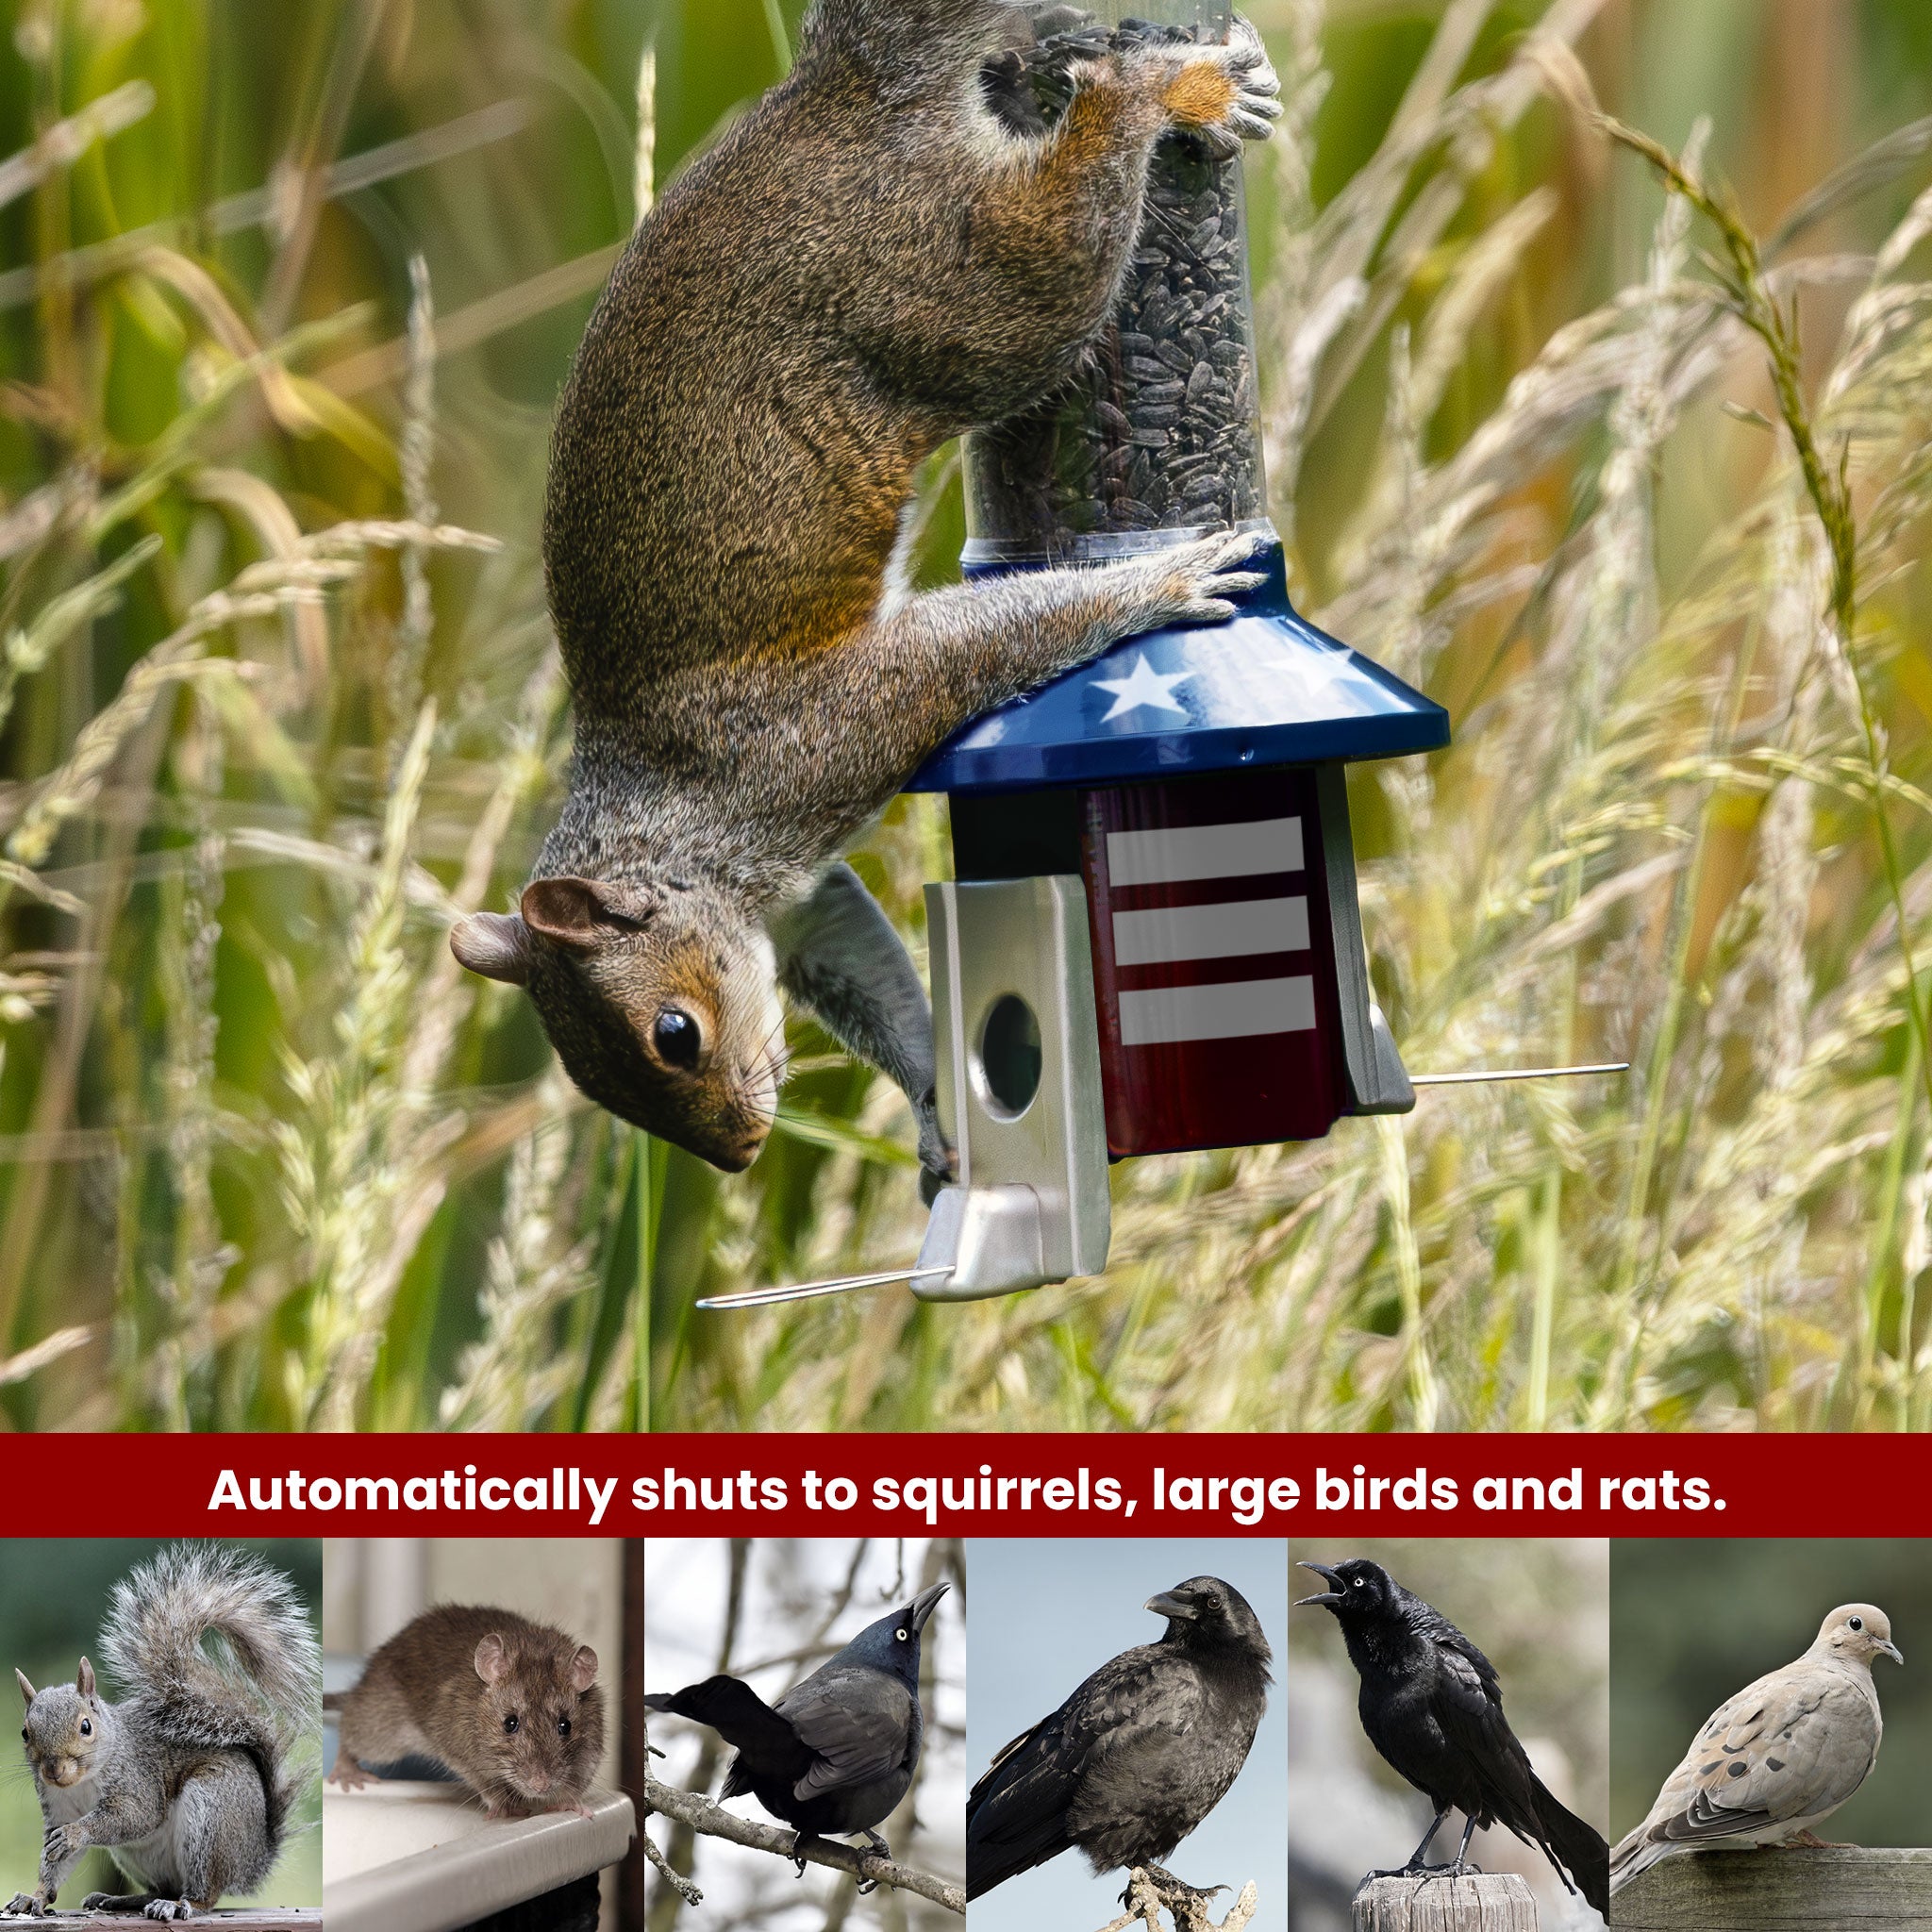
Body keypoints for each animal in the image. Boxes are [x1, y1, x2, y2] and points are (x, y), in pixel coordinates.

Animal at [6, 1544, 319, 1922]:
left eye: (85, 1727)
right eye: (25, 1732)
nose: (53, 1770)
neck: (82, 1781)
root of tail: (253, 1860)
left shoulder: (138, 1781)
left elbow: (134, 1816)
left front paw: (75, 1834)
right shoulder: (57, 1807)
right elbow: (55, 1864)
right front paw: (34, 1897)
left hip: (211, 1816)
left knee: (204, 1893)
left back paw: (180, 1904)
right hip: (138, 1856)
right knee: (163, 1887)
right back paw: (123, 1899)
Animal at [450, 0, 1282, 1182]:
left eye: (672, 1032)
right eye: (592, 1083)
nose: (740, 1153)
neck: (676, 819)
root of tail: (842, 96)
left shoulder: (825, 732)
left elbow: (973, 647)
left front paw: (1161, 577)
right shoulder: (800, 903)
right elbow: (864, 966)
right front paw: (939, 1101)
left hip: (971, 291)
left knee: (1064, 234)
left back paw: (1160, 92)